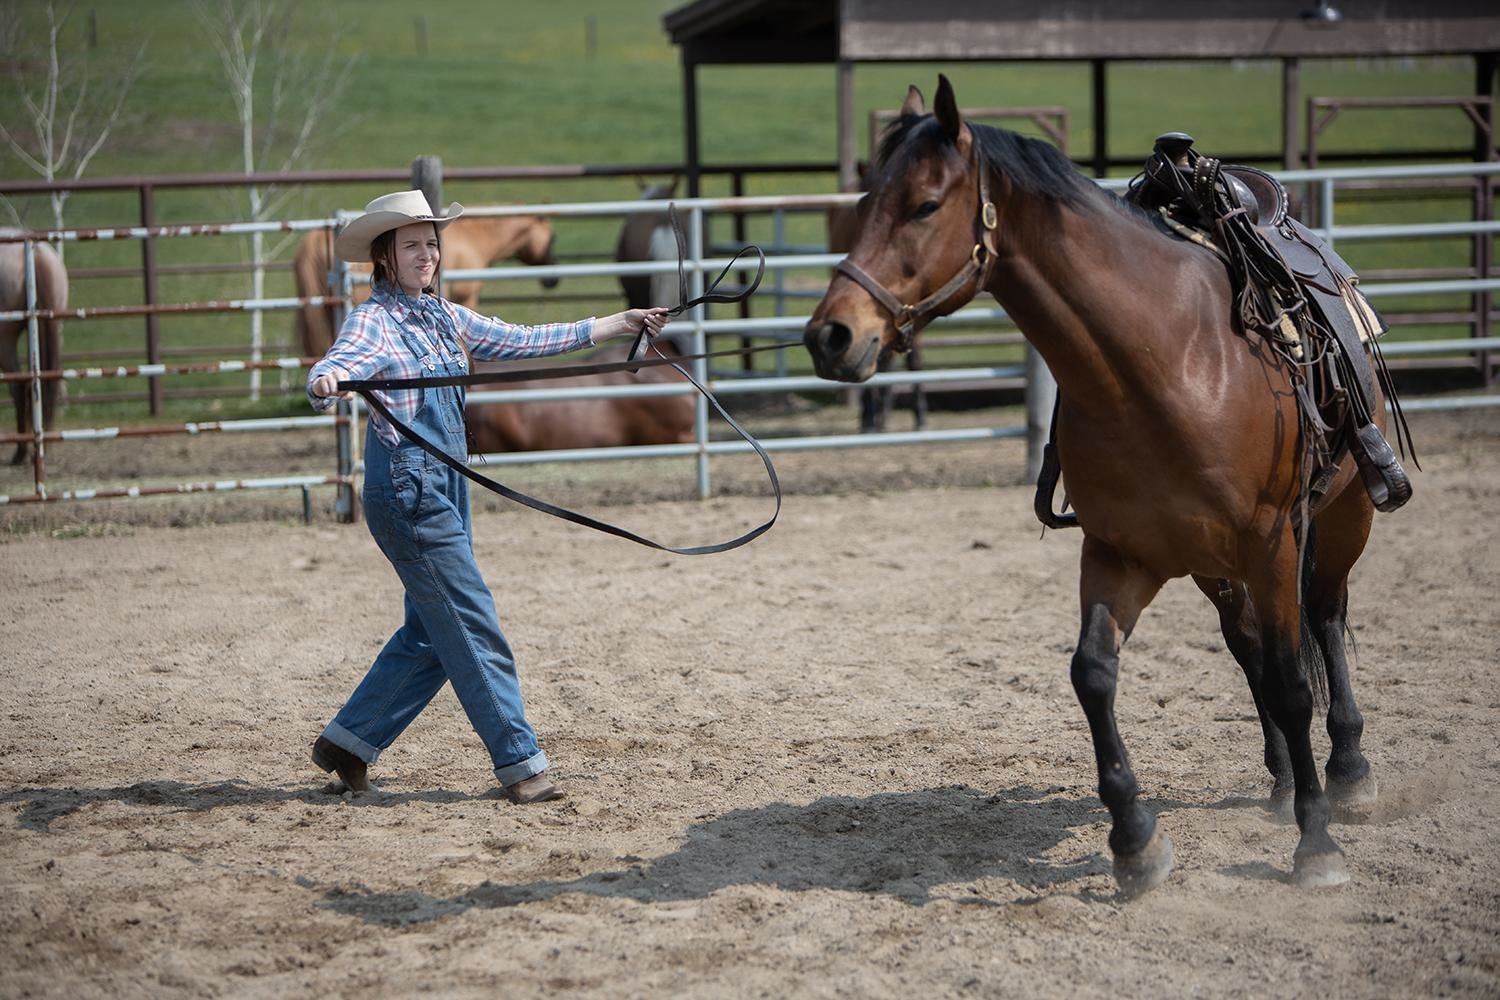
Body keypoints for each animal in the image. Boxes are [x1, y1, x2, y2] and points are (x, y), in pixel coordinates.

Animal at [804, 80, 1386, 899]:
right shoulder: (1120, 554)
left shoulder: (1273, 542)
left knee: (1326, 621)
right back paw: (1277, 778)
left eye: (923, 205)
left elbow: (1294, 681)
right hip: (1215, 566)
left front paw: (1317, 844)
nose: (830, 336)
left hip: (1341, 518)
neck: (1165, 362)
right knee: (1246, 646)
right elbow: (1093, 674)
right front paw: (1135, 840)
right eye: (864, 203)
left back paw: (1351, 772)